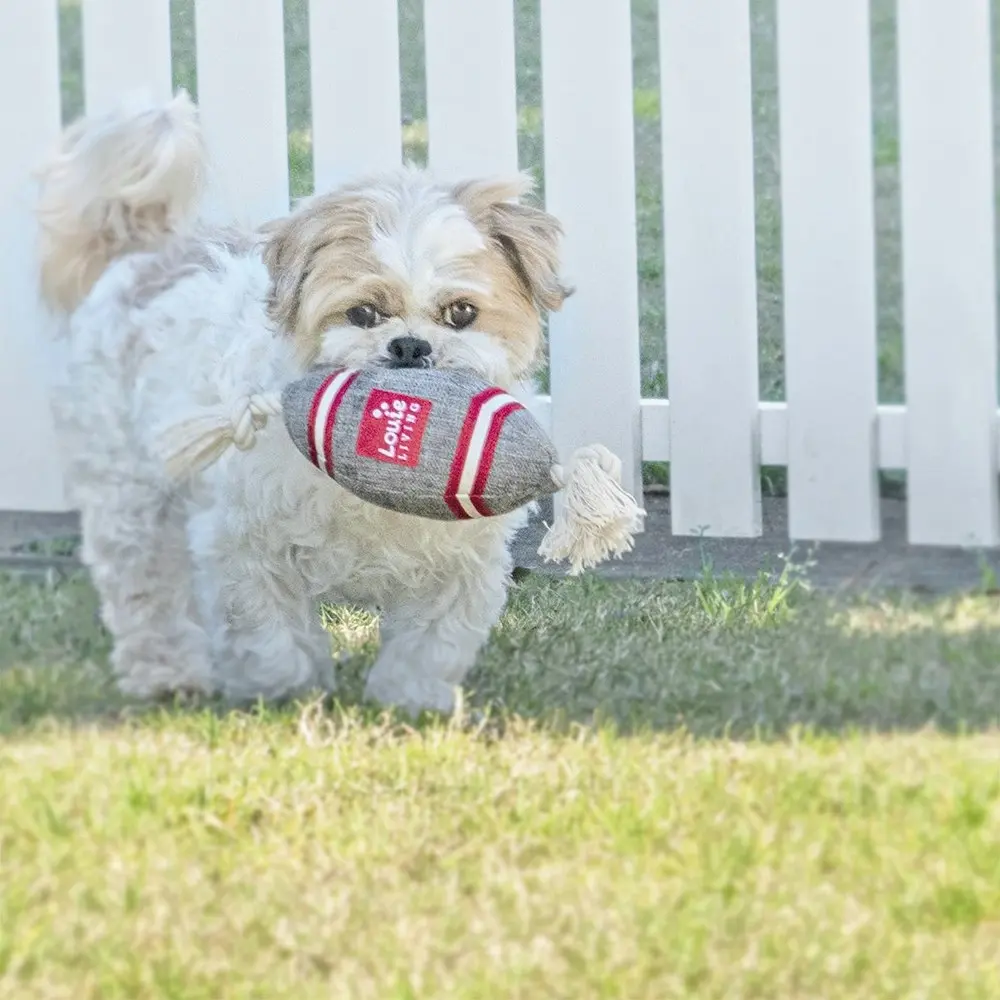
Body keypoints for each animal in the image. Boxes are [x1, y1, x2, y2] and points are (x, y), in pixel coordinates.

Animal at [37, 94, 572, 716]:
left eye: (461, 313)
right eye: (363, 314)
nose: (410, 346)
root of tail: (144, 249)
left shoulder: (460, 566)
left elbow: (431, 642)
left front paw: (408, 703)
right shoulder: (244, 550)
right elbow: (268, 634)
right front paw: (287, 694)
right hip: (130, 492)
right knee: (144, 588)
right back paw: (167, 672)